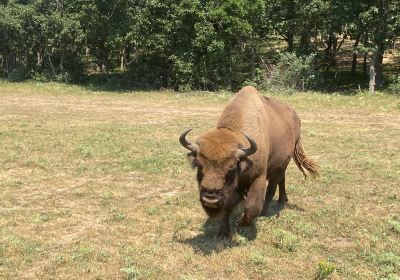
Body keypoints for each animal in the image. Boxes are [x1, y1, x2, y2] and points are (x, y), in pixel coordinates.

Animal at [179, 86, 318, 238]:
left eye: (232, 169)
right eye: (199, 166)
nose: (210, 200)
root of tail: (296, 119)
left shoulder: (259, 177)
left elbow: (252, 206)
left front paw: (241, 222)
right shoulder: (232, 190)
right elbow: (227, 208)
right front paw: (223, 232)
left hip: (281, 166)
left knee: (272, 189)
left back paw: (266, 211)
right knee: (282, 180)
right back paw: (282, 200)